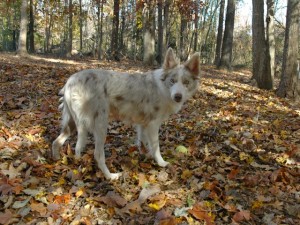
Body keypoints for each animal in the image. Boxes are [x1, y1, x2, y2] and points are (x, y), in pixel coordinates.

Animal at [52, 48, 200, 180]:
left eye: (186, 83)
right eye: (172, 81)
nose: (178, 97)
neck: (162, 88)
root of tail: (70, 80)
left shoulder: (143, 124)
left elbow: (143, 143)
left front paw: (144, 156)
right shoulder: (153, 124)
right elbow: (155, 146)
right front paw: (161, 162)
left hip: (73, 123)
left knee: (60, 143)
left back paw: (65, 162)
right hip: (100, 125)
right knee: (97, 154)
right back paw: (110, 176)